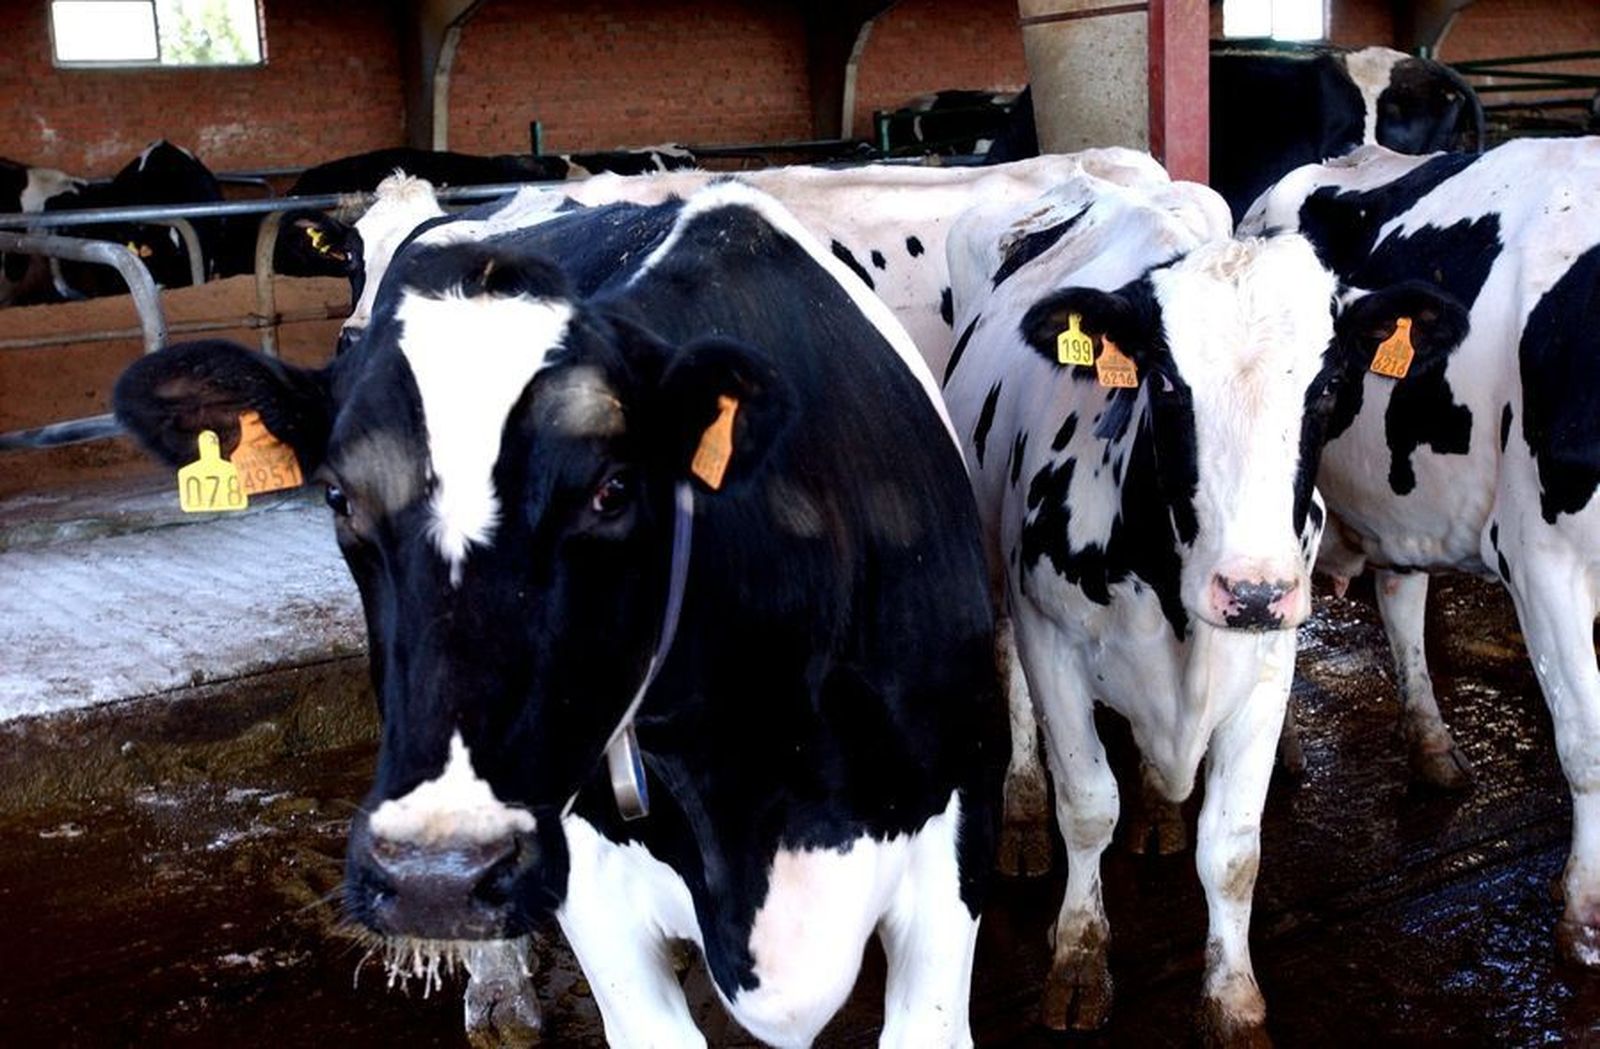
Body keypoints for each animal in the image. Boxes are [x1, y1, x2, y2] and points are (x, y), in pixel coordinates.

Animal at [942, 165, 1468, 1042]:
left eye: (1331, 384)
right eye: (1164, 381)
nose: (1252, 589)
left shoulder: (1269, 665)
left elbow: (1231, 846)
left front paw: (1233, 999)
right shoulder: (1054, 638)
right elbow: (1087, 805)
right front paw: (1078, 955)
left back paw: (1159, 805)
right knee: (1006, 665)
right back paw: (1020, 809)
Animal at [1241, 138, 1600, 968]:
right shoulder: (1542, 556)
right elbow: (1588, 742)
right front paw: (1586, 917)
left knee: (1400, 595)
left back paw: (1432, 747)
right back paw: (1284, 750)